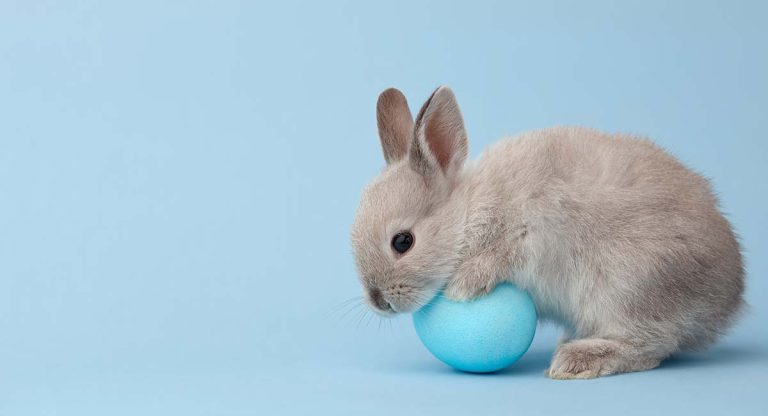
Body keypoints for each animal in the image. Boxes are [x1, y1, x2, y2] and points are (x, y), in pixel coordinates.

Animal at [350, 86, 745, 379]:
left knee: (653, 344)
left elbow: (505, 253)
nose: (378, 301)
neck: (466, 212)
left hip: (627, 287)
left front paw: (464, 285)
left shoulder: (533, 227)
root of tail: (728, 299)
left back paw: (577, 360)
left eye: (403, 242)